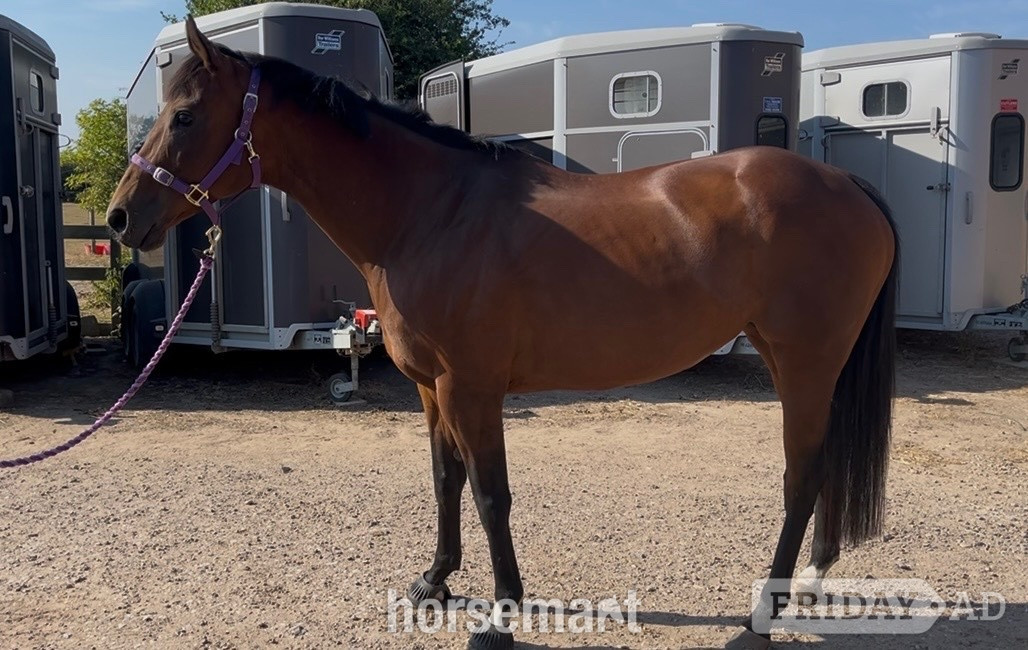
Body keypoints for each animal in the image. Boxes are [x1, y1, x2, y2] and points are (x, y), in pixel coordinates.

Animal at [107, 17, 897, 650]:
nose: (119, 217)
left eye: (184, 116)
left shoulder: (472, 387)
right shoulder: (431, 388)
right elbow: (445, 478)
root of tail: (848, 187)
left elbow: (492, 494)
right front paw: (434, 582)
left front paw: (501, 614)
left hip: (803, 361)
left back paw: (762, 615)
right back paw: (813, 578)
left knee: (801, 476)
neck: (429, 213)